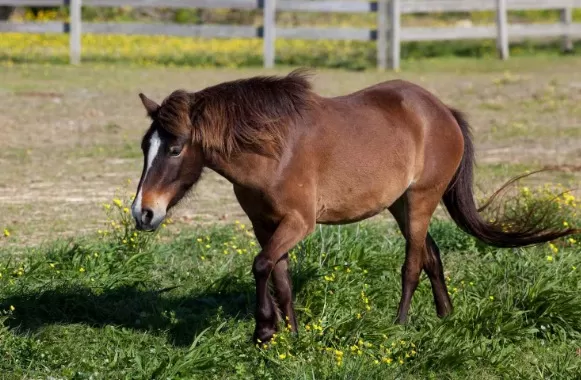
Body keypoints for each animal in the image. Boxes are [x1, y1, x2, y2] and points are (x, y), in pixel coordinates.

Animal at [129, 68, 576, 344]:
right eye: (145, 146)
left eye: (175, 148)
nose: (142, 213)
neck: (273, 149)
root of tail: (441, 111)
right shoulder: (264, 224)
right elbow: (280, 278)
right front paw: (291, 336)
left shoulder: (298, 222)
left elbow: (260, 266)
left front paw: (264, 330)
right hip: (400, 205)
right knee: (432, 256)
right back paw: (445, 317)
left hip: (421, 199)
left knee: (413, 264)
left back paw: (399, 325)